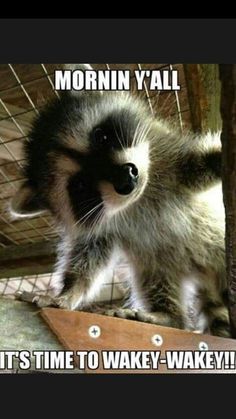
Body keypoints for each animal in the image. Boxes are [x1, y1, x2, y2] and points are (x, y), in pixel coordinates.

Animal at [10, 65, 229, 338]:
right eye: (80, 185)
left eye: (101, 137)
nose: (127, 179)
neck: (138, 198)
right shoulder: (102, 224)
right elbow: (89, 256)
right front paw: (68, 291)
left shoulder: (169, 157)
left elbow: (198, 165)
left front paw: (217, 158)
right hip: (161, 264)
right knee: (154, 278)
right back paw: (166, 315)